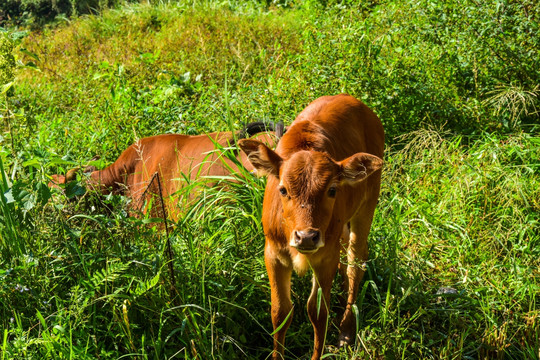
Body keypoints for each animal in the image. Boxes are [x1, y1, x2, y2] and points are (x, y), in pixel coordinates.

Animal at [239, 95, 384, 360]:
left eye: (332, 190)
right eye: (283, 189)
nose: (306, 237)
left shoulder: (325, 258)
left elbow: (317, 313)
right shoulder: (273, 254)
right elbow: (280, 312)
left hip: (366, 207)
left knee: (355, 263)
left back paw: (346, 328)